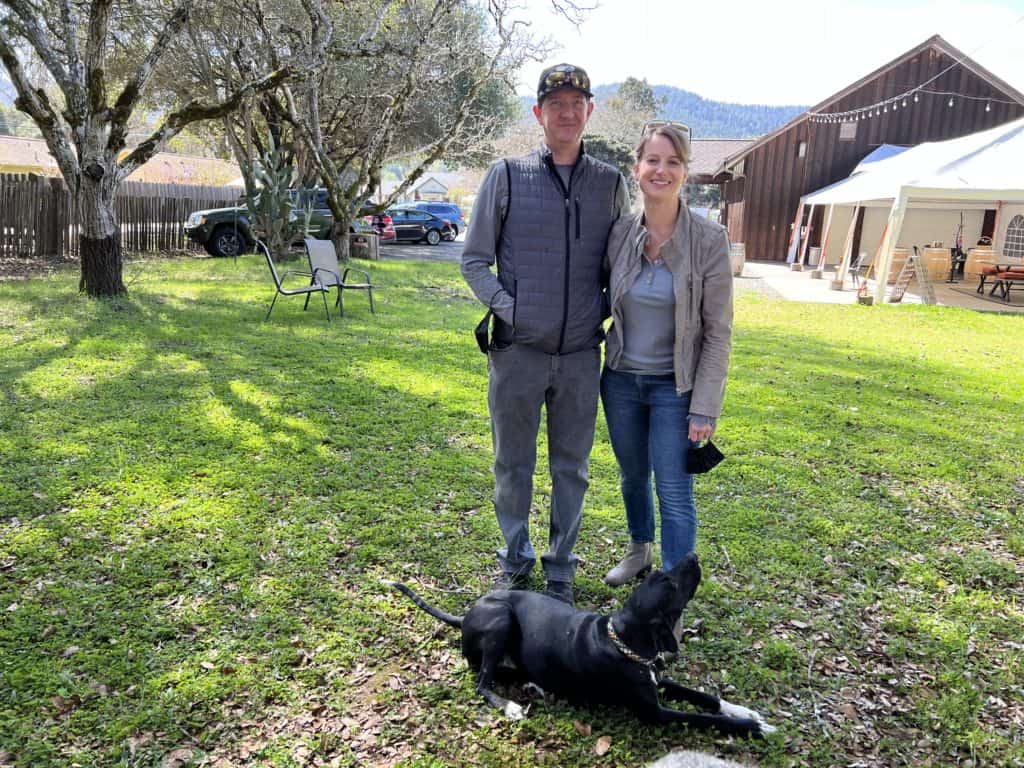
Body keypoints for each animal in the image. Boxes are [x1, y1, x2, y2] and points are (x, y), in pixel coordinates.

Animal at [387, 552, 770, 741]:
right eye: (670, 583)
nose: (691, 555)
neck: (622, 640)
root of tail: (466, 616)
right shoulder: (655, 713)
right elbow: (702, 718)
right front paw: (753, 728)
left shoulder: (657, 679)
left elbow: (704, 698)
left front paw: (742, 711)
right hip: (501, 621)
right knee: (482, 681)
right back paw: (510, 705)